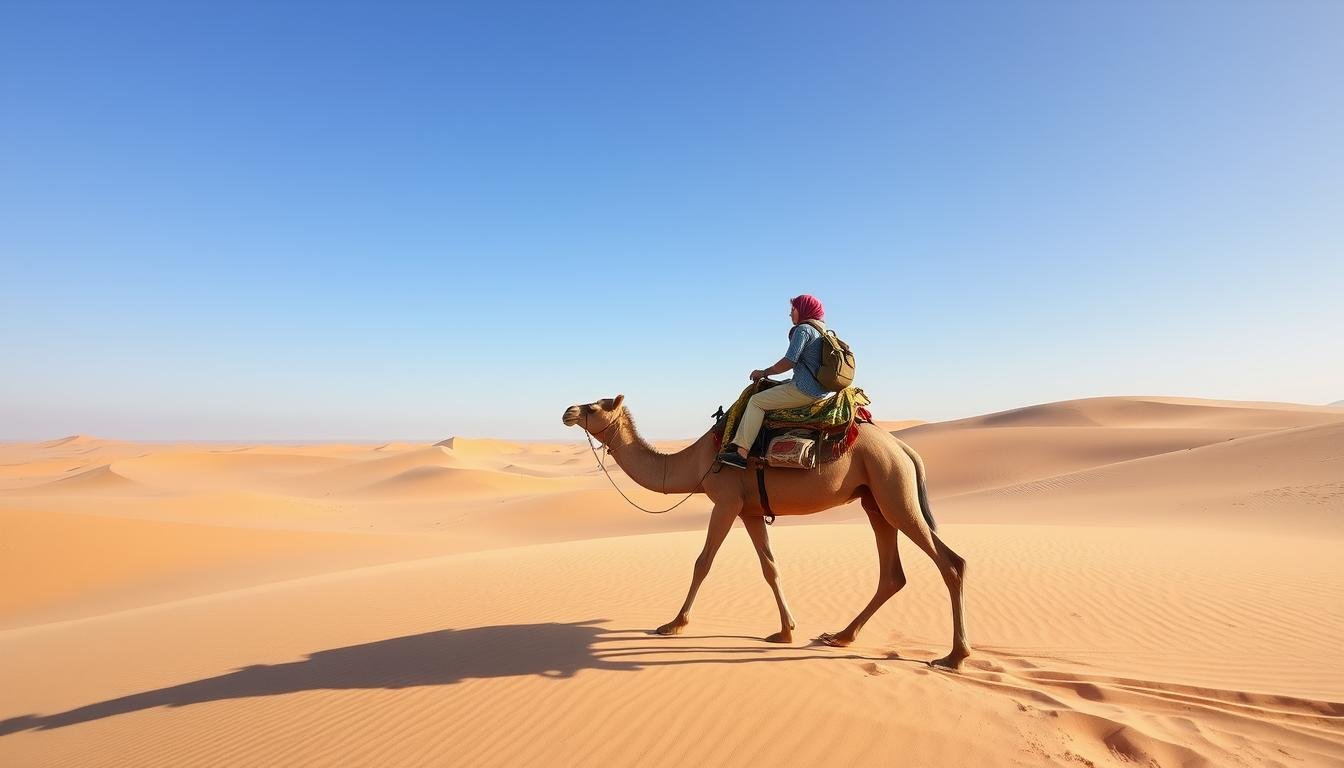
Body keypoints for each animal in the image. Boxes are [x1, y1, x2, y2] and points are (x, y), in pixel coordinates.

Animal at [562, 394, 970, 670]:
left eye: (595, 406)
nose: (568, 411)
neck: (696, 463)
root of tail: (903, 447)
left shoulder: (725, 502)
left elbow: (703, 562)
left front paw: (673, 625)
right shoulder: (751, 511)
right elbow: (770, 567)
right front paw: (786, 632)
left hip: (893, 488)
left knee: (950, 562)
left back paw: (954, 656)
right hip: (875, 496)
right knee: (892, 574)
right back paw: (840, 636)